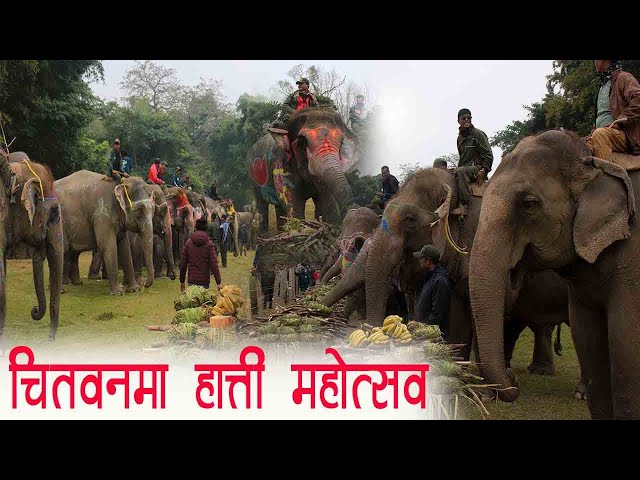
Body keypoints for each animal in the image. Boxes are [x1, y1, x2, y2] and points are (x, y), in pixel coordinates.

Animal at [468, 129, 640, 419]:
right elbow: (587, 339)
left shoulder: (633, 261)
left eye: (529, 204)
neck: (592, 162)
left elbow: (625, 346)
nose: (513, 382)